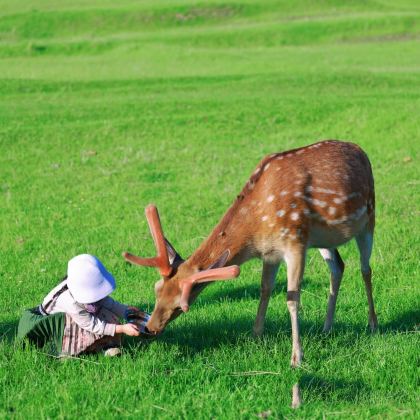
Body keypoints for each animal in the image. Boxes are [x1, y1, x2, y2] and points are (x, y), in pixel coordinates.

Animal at [124, 139, 378, 366]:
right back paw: (327, 327)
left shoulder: (294, 242)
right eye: (157, 290)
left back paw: (373, 324)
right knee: (338, 267)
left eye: (181, 305)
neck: (256, 229)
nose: (150, 327)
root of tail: (360, 149)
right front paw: (255, 335)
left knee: (365, 269)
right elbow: (265, 289)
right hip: (322, 239)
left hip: (369, 216)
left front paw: (296, 357)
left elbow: (292, 298)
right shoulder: (271, 253)